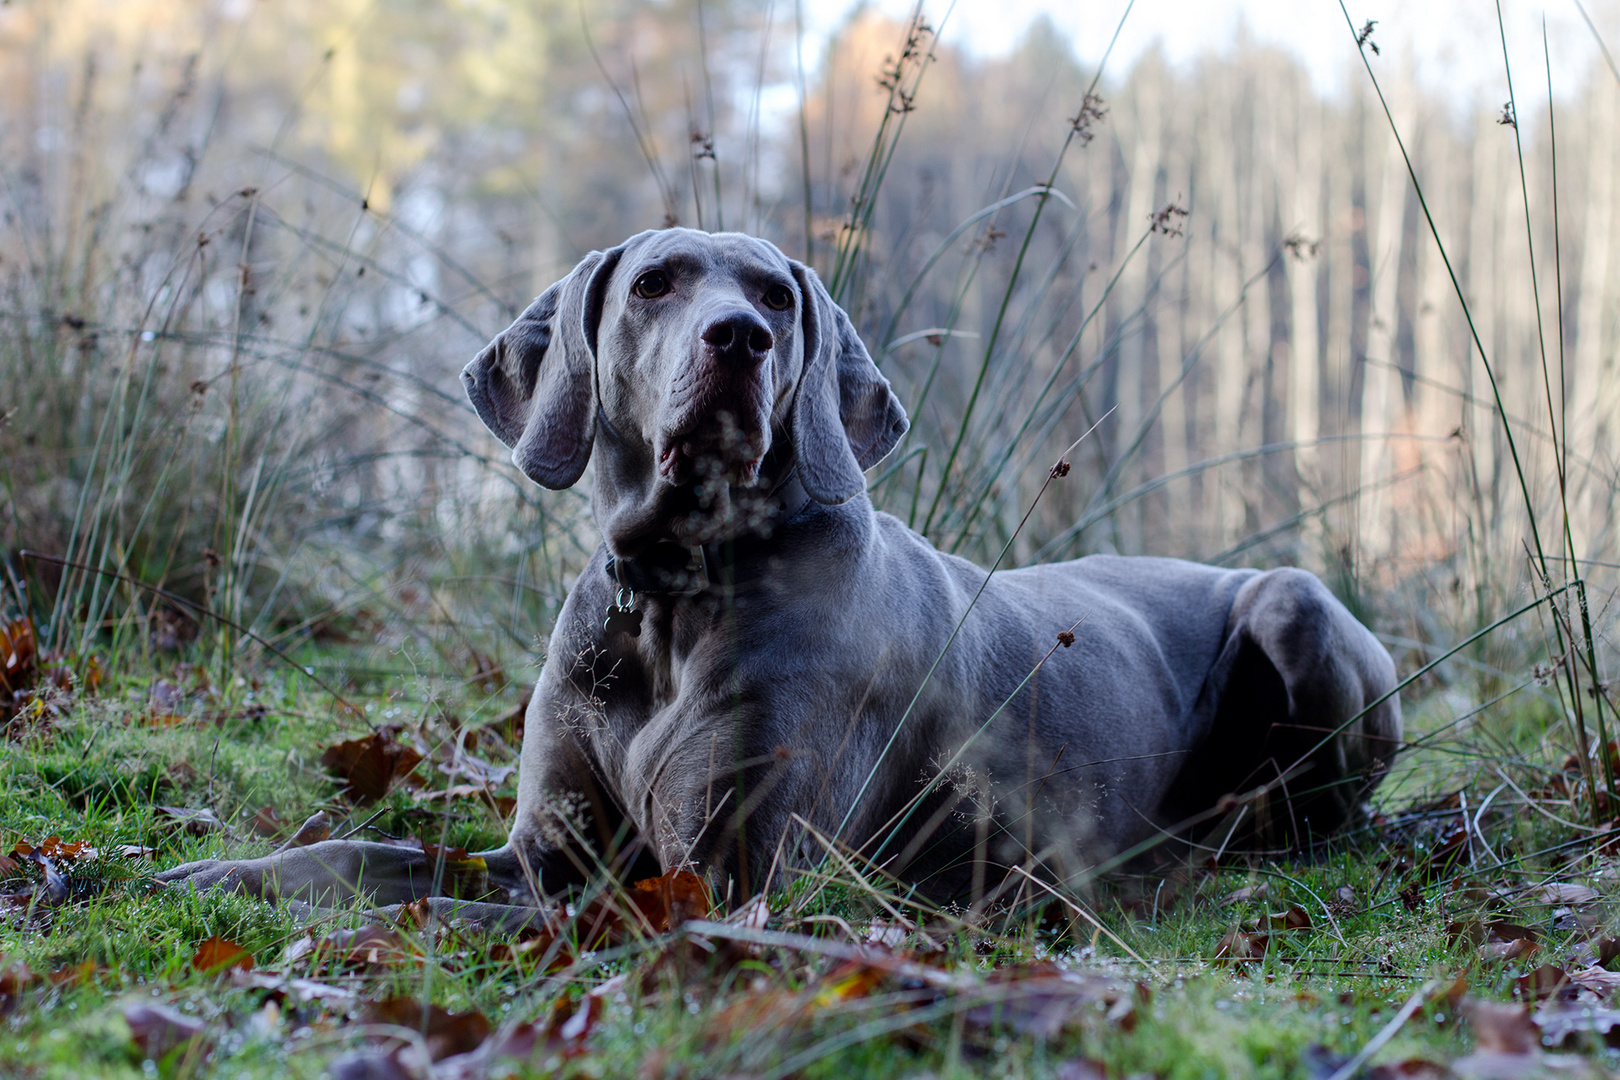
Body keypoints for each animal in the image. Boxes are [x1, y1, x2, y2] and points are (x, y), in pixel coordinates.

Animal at [157, 228, 1399, 913]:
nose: (739, 340)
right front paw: (210, 878)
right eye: (655, 283)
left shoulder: (724, 878)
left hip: (1292, 602)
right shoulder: (548, 851)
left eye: (774, 295)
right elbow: (369, 859)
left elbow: (452, 920)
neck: (672, 596)